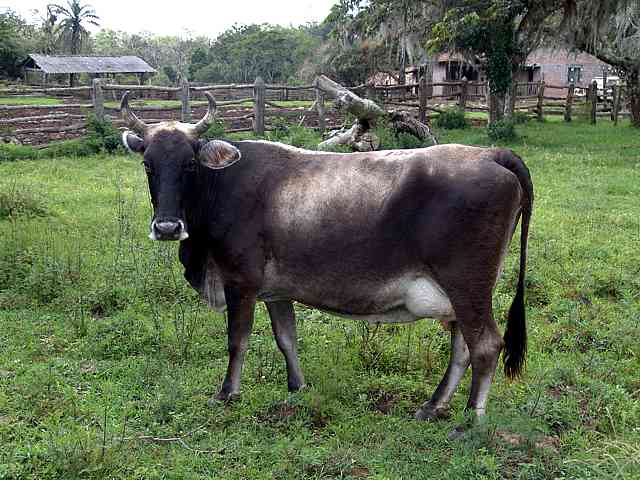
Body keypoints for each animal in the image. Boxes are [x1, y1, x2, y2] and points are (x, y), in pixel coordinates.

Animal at [120, 91, 533, 435]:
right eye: (147, 165)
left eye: (190, 165)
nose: (168, 227)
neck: (221, 186)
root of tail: (490, 153)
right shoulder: (276, 291)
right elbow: (286, 338)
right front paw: (297, 387)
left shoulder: (240, 281)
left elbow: (237, 341)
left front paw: (226, 394)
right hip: (461, 294)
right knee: (462, 346)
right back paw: (432, 406)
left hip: (466, 284)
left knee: (485, 345)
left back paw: (469, 421)